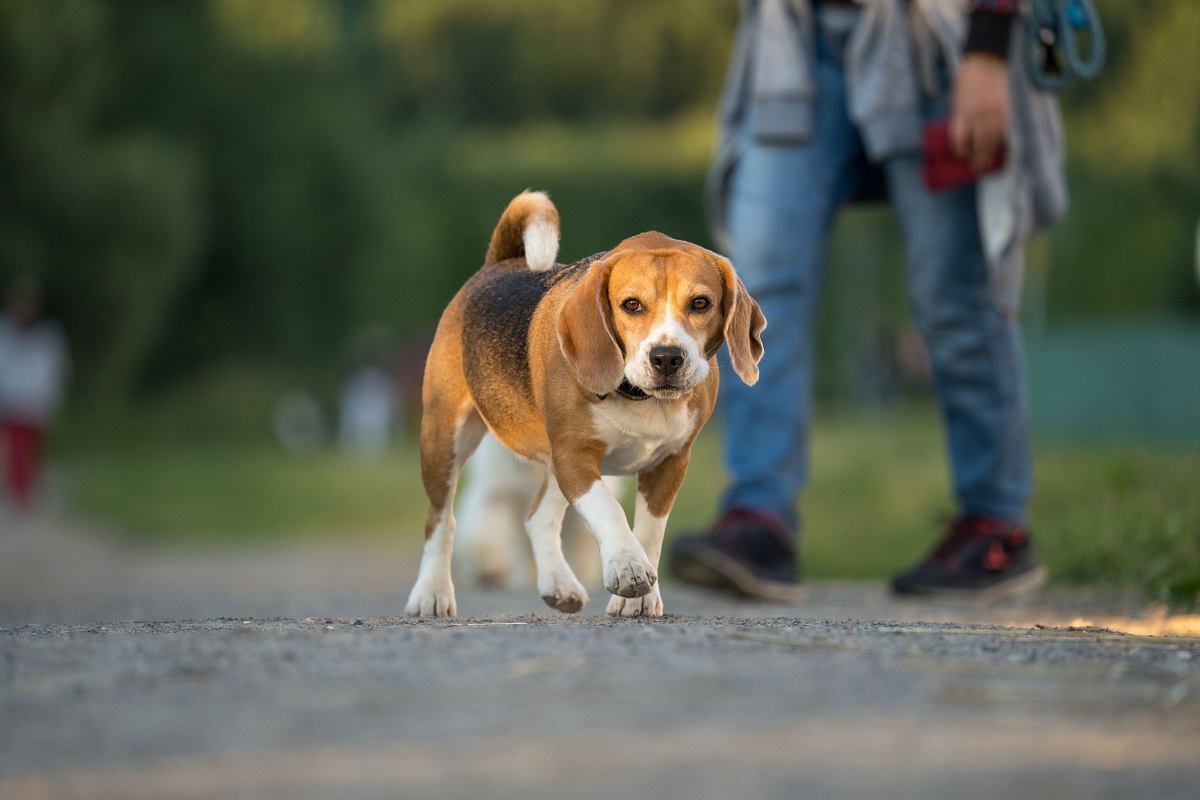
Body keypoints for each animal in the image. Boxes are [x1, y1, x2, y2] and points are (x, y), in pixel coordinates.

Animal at [408, 190, 763, 618]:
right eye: (631, 305)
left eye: (699, 303)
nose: (666, 358)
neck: (638, 395)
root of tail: (500, 265)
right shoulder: (574, 456)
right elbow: (608, 509)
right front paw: (627, 566)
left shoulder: (670, 463)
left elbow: (650, 531)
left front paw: (640, 598)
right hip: (445, 437)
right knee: (440, 521)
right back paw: (432, 593)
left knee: (536, 517)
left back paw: (558, 584)